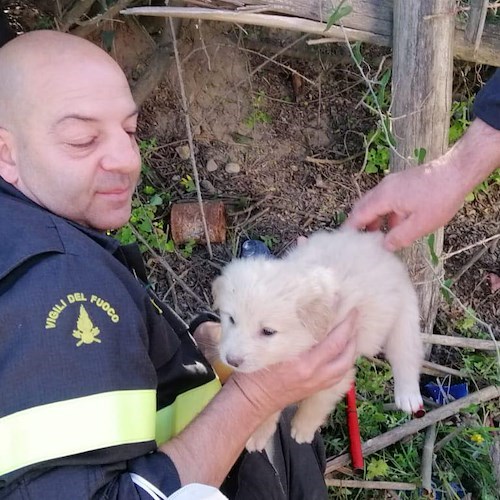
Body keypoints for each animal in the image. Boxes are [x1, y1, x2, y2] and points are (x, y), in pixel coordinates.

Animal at [211, 229, 422, 452]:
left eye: (268, 331)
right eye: (231, 319)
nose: (231, 361)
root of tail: (374, 241)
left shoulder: (338, 368)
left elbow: (317, 401)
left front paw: (303, 429)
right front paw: (259, 433)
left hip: (404, 311)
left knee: (406, 352)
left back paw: (408, 395)